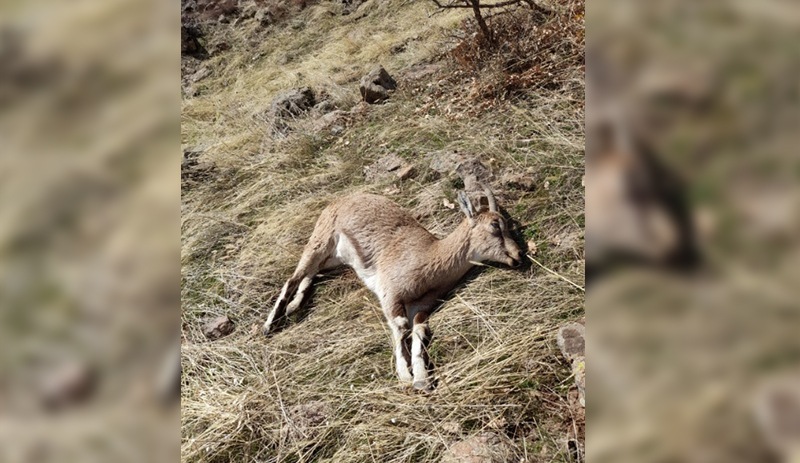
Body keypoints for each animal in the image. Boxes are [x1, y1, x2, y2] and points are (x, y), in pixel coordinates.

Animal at [264, 185, 524, 392]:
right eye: (495, 226)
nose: (518, 256)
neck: (430, 258)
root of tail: (340, 200)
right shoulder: (390, 293)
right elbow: (400, 327)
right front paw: (405, 376)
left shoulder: (421, 306)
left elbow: (419, 330)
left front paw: (422, 379)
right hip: (320, 240)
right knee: (294, 277)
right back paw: (270, 324)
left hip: (335, 259)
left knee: (311, 274)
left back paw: (294, 306)